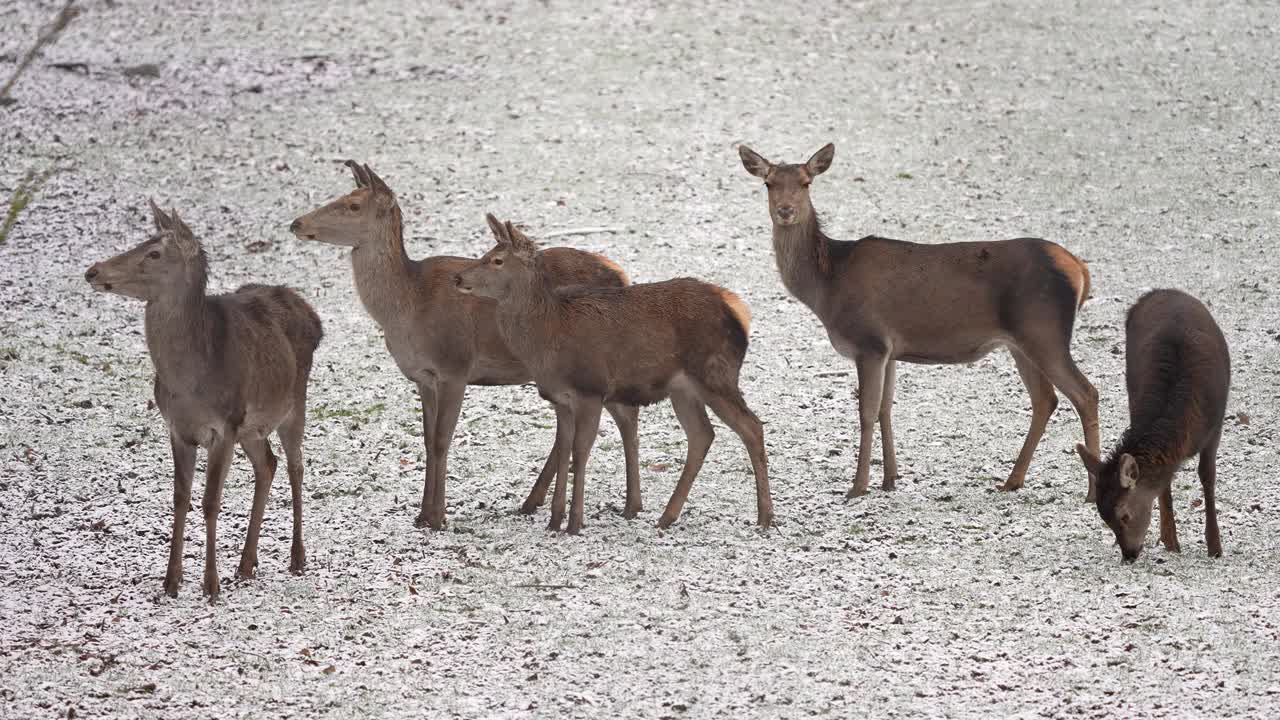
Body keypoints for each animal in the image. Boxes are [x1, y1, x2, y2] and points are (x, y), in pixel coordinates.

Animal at [83, 198, 325, 597]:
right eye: (143, 241)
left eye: (153, 253)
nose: (92, 270)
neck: (190, 385)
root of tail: (311, 312)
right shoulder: (178, 429)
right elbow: (180, 498)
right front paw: (171, 581)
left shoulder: (224, 426)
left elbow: (211, 501)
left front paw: (210, 584)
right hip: (251, 427)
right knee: (267, 464)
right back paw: (246, 563)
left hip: (293, 403)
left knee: (296, 465)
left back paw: (297, 557)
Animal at [293, 162, 645, 527]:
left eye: (353, 205)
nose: (297, 223)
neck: (407, 307)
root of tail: (622, 276)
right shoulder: (423, 377)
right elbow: (426, 439)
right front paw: (422, 515)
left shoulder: (455, 366)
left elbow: (441, 439)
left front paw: (437, 517)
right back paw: (535, 501)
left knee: (625, 416)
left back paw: (627, 505)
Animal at [455, 212, 768, 532]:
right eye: (487, 253)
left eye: (497, 260)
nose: (458, 278)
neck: (548, 337)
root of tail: (738, 311)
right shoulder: (560, 399)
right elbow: (564, 448)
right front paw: (555, 521)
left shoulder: (591, 390)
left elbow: (580, 452)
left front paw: (574, 523)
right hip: (683, 389)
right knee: (702, 434)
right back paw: (667, 516)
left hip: (715, 373)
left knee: (752, 427)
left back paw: (765, 517)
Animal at [742, 140, 1100, 499]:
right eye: (768, 183)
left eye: (806, 182)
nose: (785, 210)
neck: (827, 287)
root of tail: (1079, 268)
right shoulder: (889, 349)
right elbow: (886, 407)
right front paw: (889, 479)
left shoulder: (868, 341)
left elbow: (866, 411)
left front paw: (858, 486)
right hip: (1021, 343)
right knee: (1045, 399)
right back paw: (1013, 480)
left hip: (1044, 332)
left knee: (1086, 394)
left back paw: (1092, 491)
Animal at [1075, 286, 1233, 561]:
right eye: (1104, 519)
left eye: (1124, 515)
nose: (1128, 554)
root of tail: (1158, 292)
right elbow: (1164, 483)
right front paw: (1171, 541)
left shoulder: (1216, 425)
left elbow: (1207, 476)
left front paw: (1215, 546)